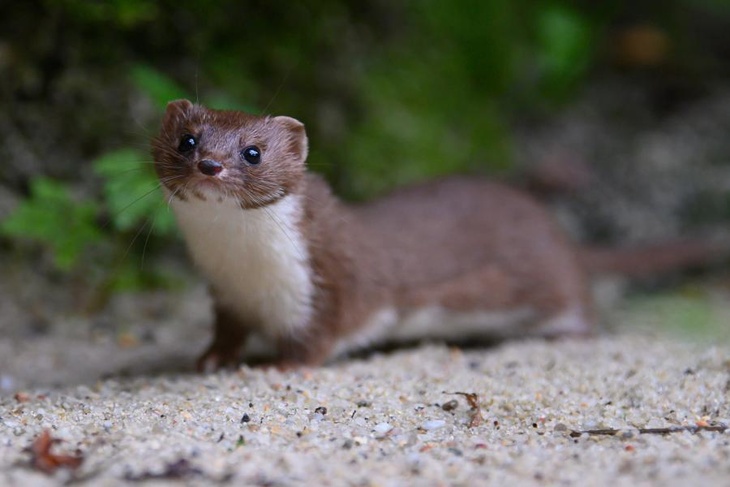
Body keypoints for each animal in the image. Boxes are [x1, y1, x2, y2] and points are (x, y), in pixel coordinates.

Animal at [151, 102, 720, 370]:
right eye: (188, 140)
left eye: (253, 152)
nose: (210, 164)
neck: (247, 270)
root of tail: (559, 233)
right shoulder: (226, 295)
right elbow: (226, 334)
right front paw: (211, 359)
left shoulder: (331, 284)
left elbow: (320, 338)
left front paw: (277, 366)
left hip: (555, 286)